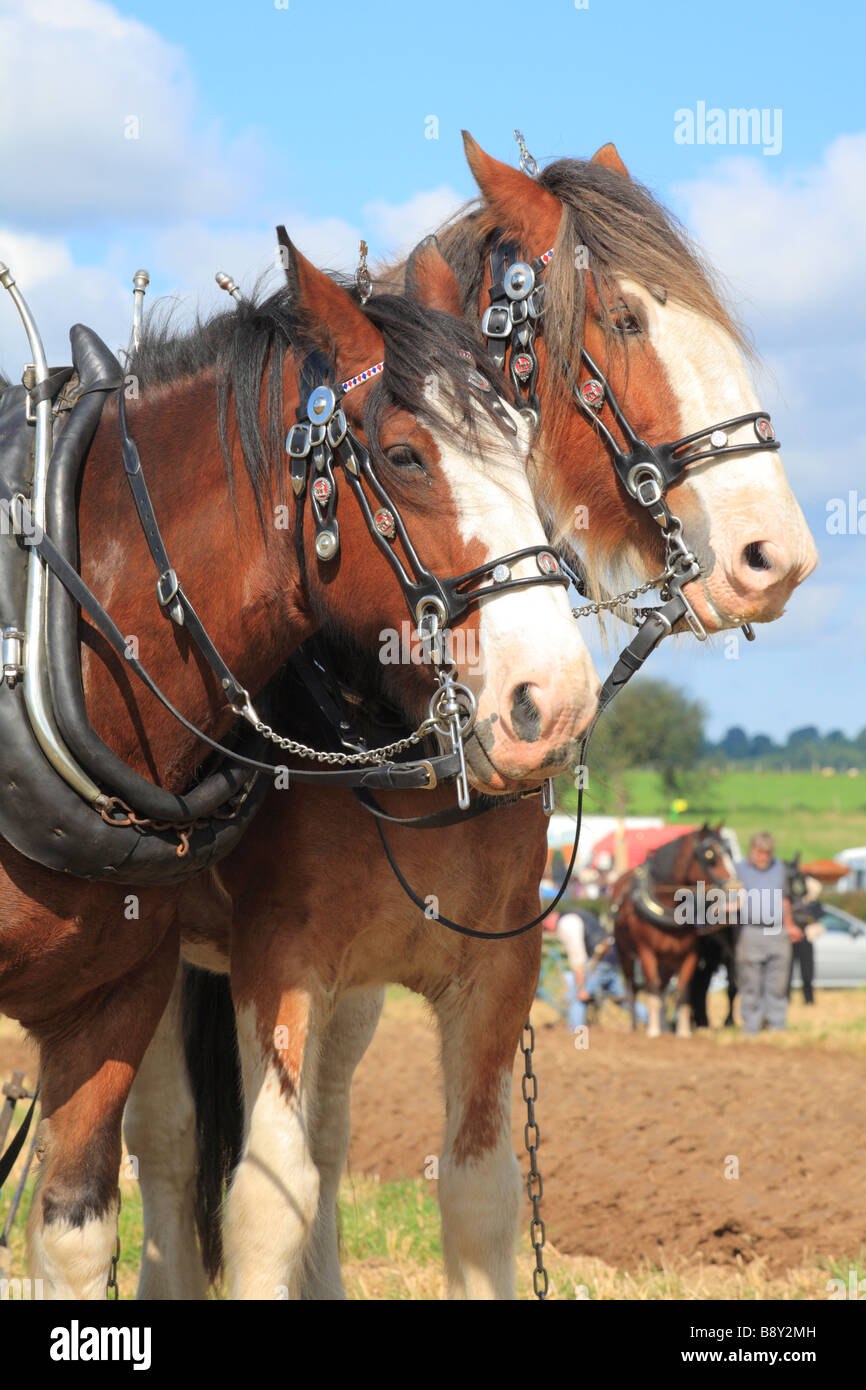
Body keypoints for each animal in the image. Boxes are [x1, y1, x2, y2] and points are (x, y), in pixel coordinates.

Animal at [3, 244, 594, 1295]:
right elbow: (264, 1197)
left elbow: (476, 1194)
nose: (553, 702)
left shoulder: (495, 969)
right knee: (174, 1144)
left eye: (526, 445)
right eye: (403, 455)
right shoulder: (276, 954)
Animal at [614, 817, 739, 1039]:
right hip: (625, 954)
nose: (735, 889)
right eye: (710, 855)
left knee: (666, 988)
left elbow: (682, 992)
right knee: (632, 988)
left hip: (669, 960)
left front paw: (682, 1033)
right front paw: (653, 1031)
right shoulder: (646, 952)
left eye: (729, 852)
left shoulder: (690, 955)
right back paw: (635, 1027)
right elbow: (652, 987)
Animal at [692, 850, 828, 1028]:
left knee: (700, 985)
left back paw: (701, 1020)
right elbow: (734, 987)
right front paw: (730, 1020)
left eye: (803, 888)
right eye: (786, 885)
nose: (803, 918)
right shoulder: (733, 955)